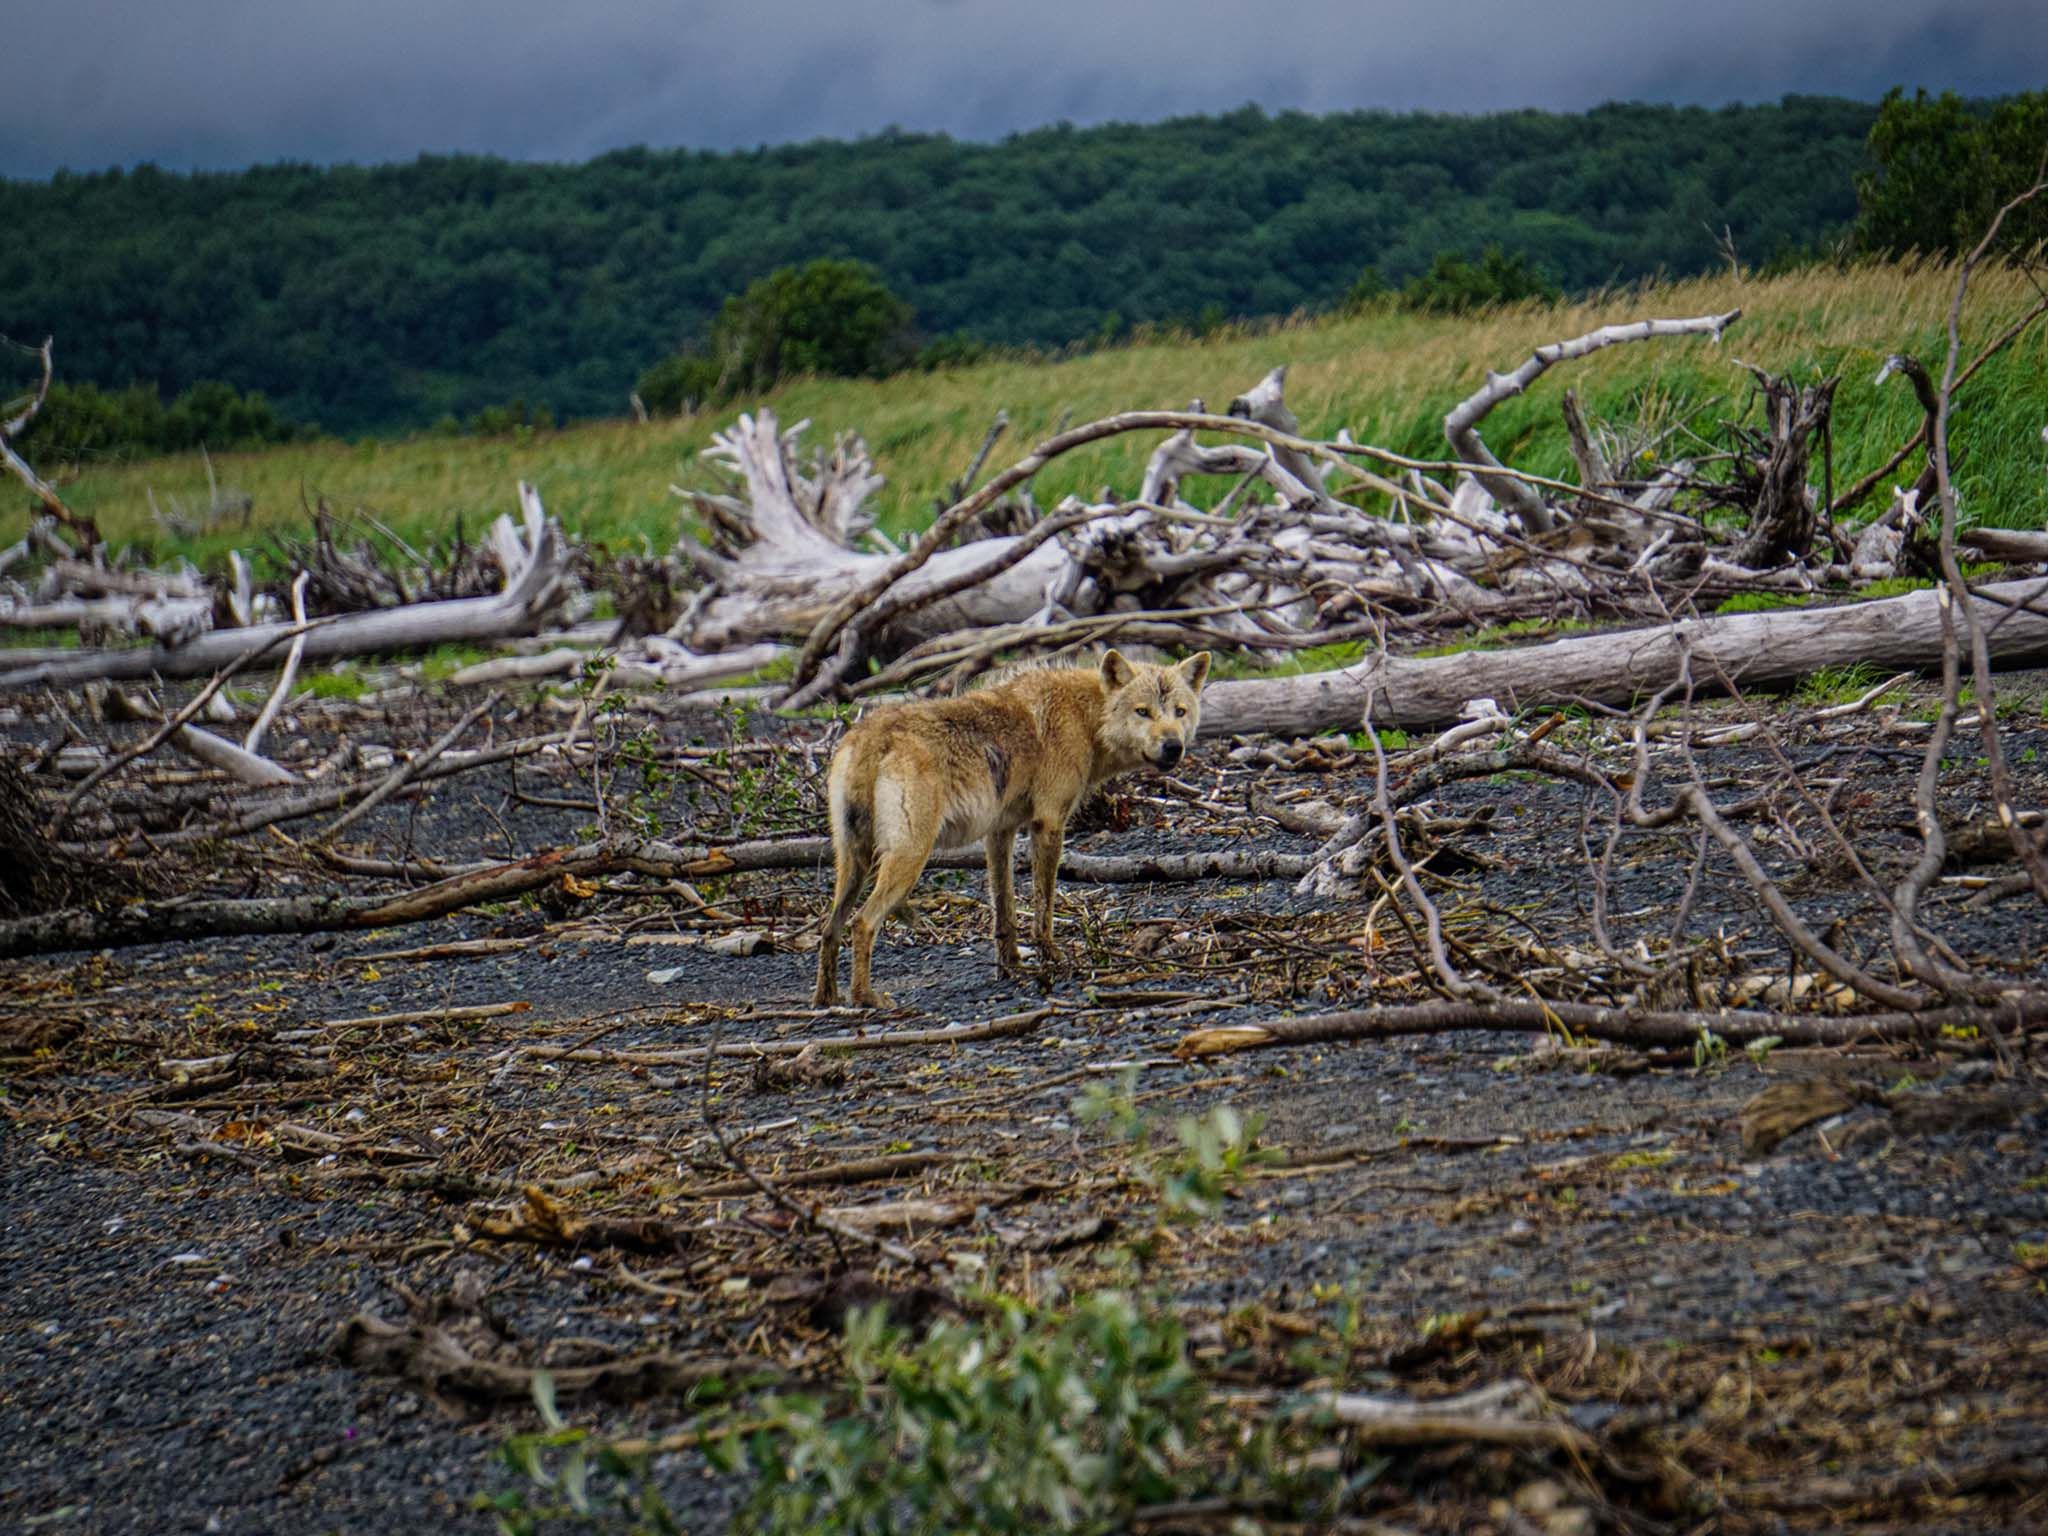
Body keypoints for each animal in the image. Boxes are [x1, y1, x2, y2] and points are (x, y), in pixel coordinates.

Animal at [806, 651, 1204, 1003]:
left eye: (1179, 712)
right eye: (1143, 712)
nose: (1173, 746)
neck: (1085, 716)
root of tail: (871, 736)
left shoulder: (1000, 833)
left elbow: (1005, 910)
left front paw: (1009, 966)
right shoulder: (1049, 823)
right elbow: (1043, 908)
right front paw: (1051, 958)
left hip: (852, 862)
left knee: (829, 930)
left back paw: (826, 1000)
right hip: (909, 857)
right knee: (862, 923)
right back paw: (866, 999)